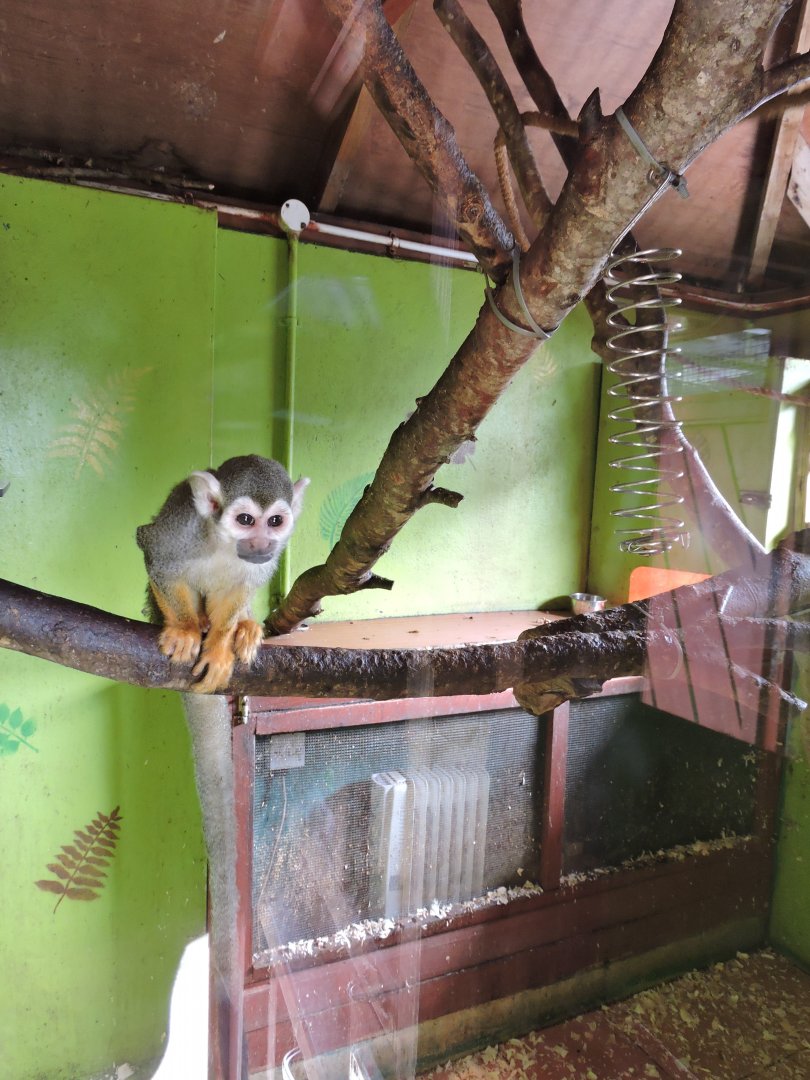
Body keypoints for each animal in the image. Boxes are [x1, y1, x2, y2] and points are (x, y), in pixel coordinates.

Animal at [137, 454, 309, 693]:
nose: (261, 543)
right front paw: (185, 629)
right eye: (245, 519)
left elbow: (239, 588)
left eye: (275, 521)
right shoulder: (183, 528)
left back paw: (246, 626)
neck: (224, 543)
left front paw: (218, 647)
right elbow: (157, 558)